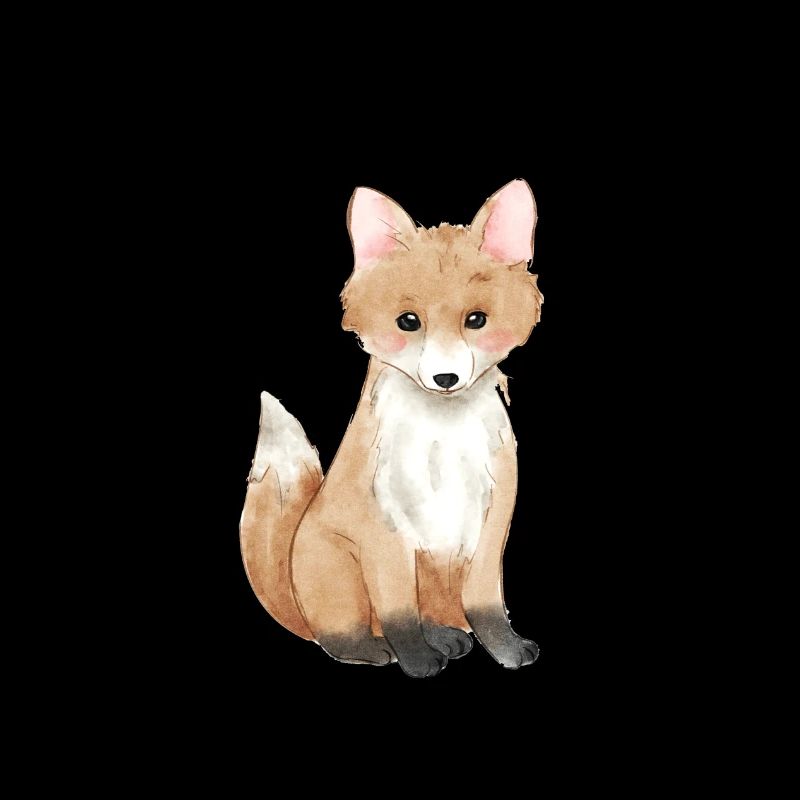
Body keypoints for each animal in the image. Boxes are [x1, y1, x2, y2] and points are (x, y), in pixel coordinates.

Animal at [240, 179, 543, 677]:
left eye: (476, 320)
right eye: (408, 322)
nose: (445, 378)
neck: (442, 442)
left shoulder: (491, 520)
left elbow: (486, 604)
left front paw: (506, 651)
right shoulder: (385, 529)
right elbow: (399, 613)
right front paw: (417, 663)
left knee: (435, 615)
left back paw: (447, 637)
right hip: (342, 574)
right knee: (346, 636)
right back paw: (380, 649)